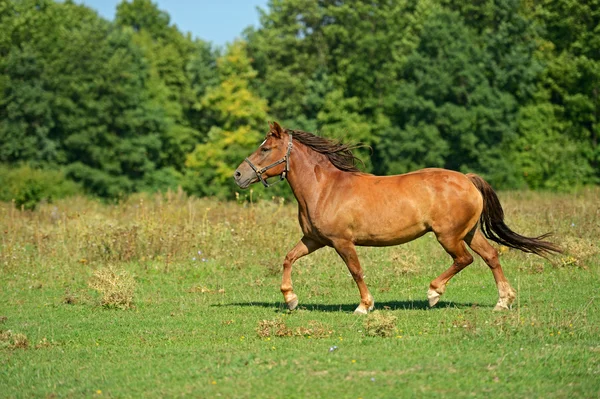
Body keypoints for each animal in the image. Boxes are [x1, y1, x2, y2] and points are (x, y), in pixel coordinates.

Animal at [232, 120, 560, 314]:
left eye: (266, 148)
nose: (238, 175)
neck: (325, 188)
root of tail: (467, 179)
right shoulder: (315, 239)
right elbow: (288, 258)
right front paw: (290, 299)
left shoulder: (342, 242)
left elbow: (356, 271)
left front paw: (364, 306)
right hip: (469, 232)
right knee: (491, 256)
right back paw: (503, 301)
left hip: (448, 235)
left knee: (464, 259)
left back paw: (433, 293)